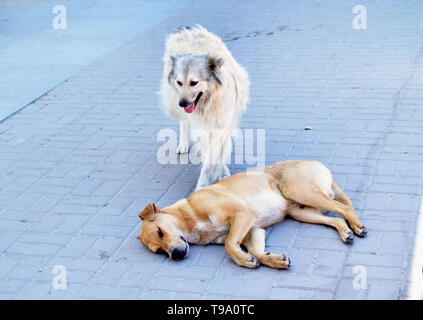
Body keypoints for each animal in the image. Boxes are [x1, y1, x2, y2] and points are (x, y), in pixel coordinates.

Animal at [137, 159, 366, 268]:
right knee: (335, 219)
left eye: (160, 231)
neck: (190, 216)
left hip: (300, 192)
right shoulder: (253, 230)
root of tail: (319, 165)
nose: (175, 255)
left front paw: (243, 259)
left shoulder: (244, 214)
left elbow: (230, 245)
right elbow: (256, 251)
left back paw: (356, 225)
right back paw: (346, 231)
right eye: (158, 250)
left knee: (345, 209)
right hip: (301, 212)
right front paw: (272, 260)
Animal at [161, 25, 250, 190]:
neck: (209, 102)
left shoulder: (222, 125)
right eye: (179, 82)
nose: (182, 103)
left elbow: (216, 155)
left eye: (194, 82)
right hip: (173, 103)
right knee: (183, 122)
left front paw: (218, 175)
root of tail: (189, 31)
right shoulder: (202, 127)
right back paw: (183, 145)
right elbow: (209, 155)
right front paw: (204, 184)